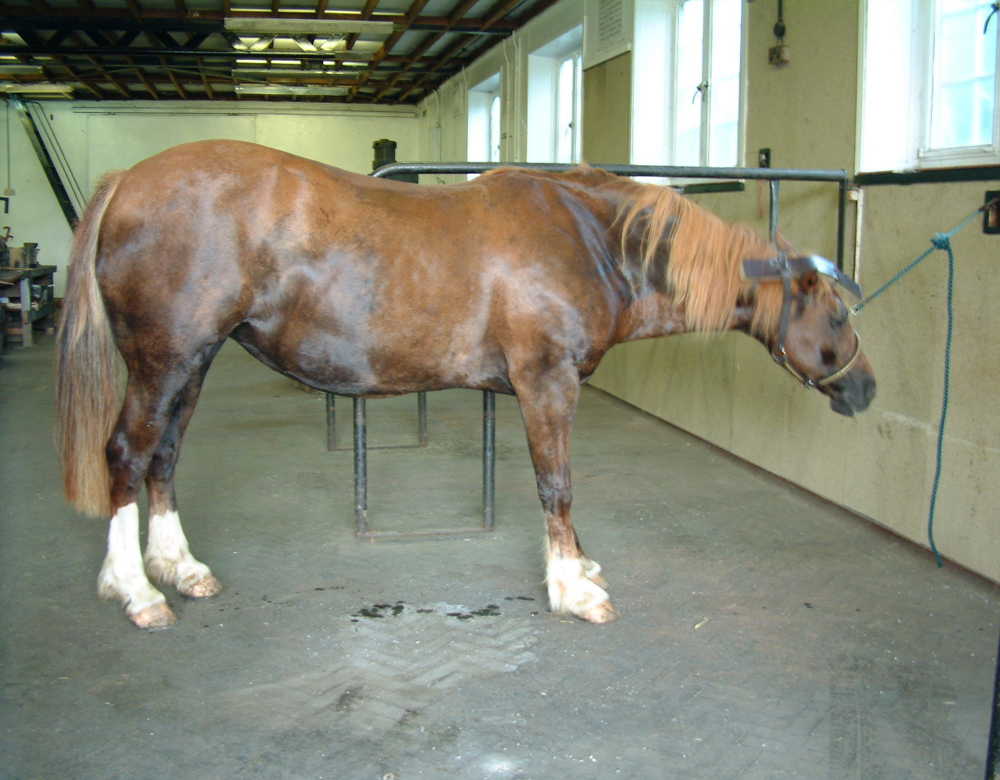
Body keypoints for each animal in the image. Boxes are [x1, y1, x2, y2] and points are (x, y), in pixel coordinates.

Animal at [55, 140, 876, 629]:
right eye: (835, 310)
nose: (864, 389)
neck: (590, 238)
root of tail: (128, 179)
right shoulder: (548, 384)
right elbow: (556, 482)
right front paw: (572, 588)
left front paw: (578, 564)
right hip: (165, 360)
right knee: (127, 455)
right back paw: (136, 591)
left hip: (190, 363)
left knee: (164, 456)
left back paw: (180, 568)